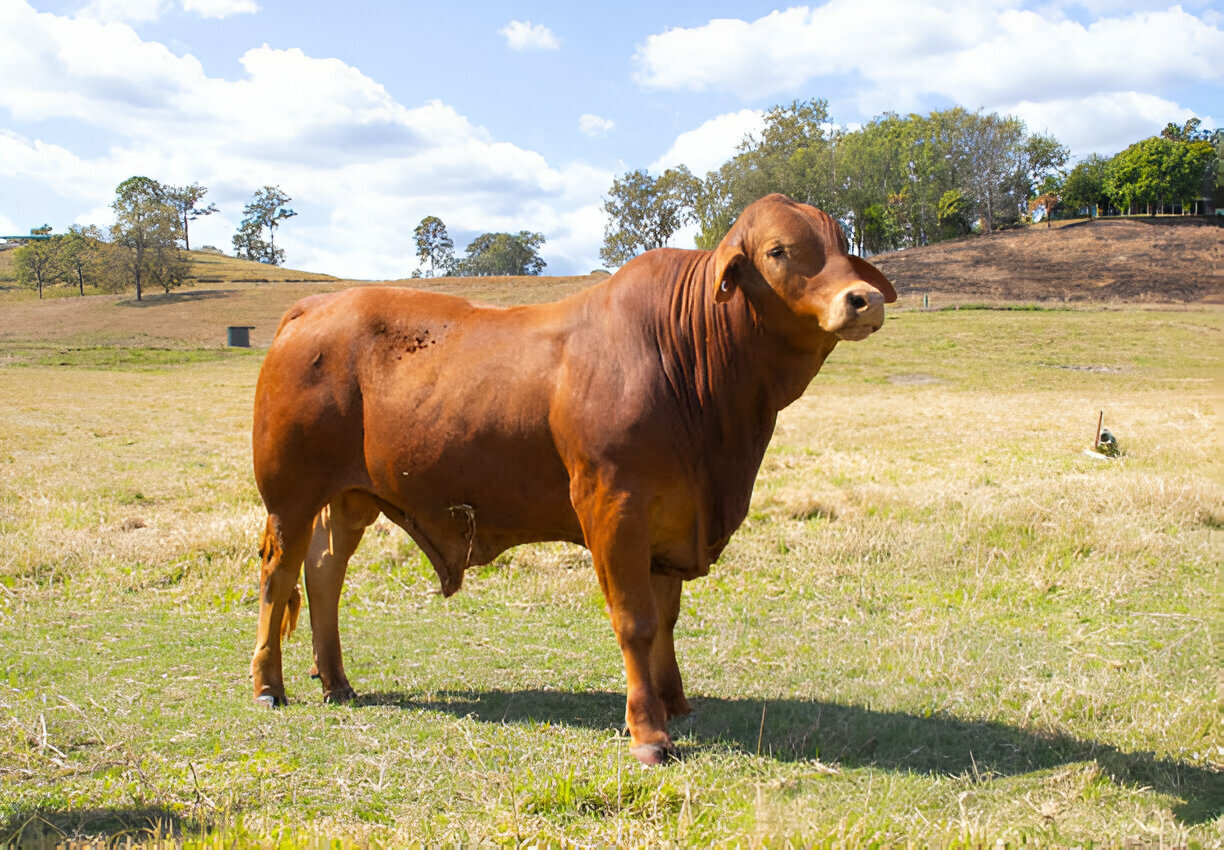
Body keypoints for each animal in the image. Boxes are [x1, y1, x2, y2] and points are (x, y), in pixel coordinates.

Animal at [249, 193, 896, 765]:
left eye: (843, 245)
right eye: (779, 251)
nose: (863, 299)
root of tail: (314, 306)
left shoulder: (673, 517)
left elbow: (665, 618)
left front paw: (675, 702)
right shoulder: (614, 505)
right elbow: (635, 621)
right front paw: (649, 732)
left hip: (352, 495)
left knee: (324, 573)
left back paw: (336, 681)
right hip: (290, 495)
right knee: (278, 577)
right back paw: (268, 685)